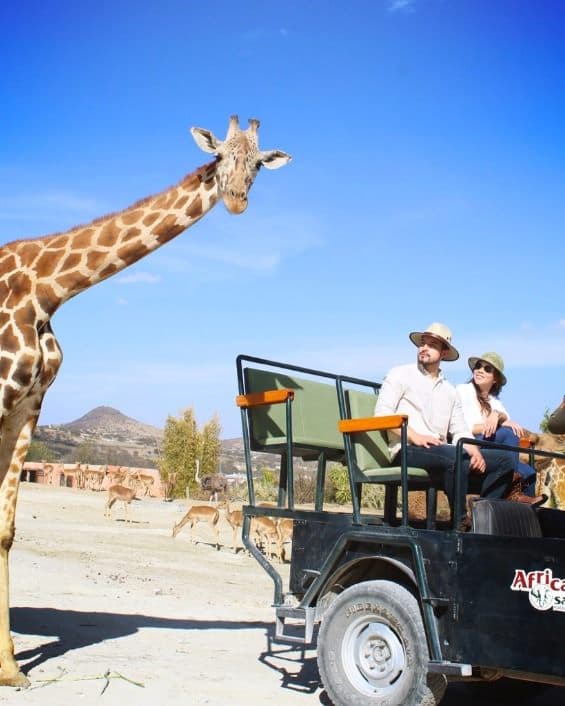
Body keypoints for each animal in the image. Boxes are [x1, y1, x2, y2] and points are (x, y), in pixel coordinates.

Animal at [0, 115, 290, 685]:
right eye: (220, 157)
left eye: (258, 165)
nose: (237, 200)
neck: (48, 289)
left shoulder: (27, 407)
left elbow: (7, 529)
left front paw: (9, 668)